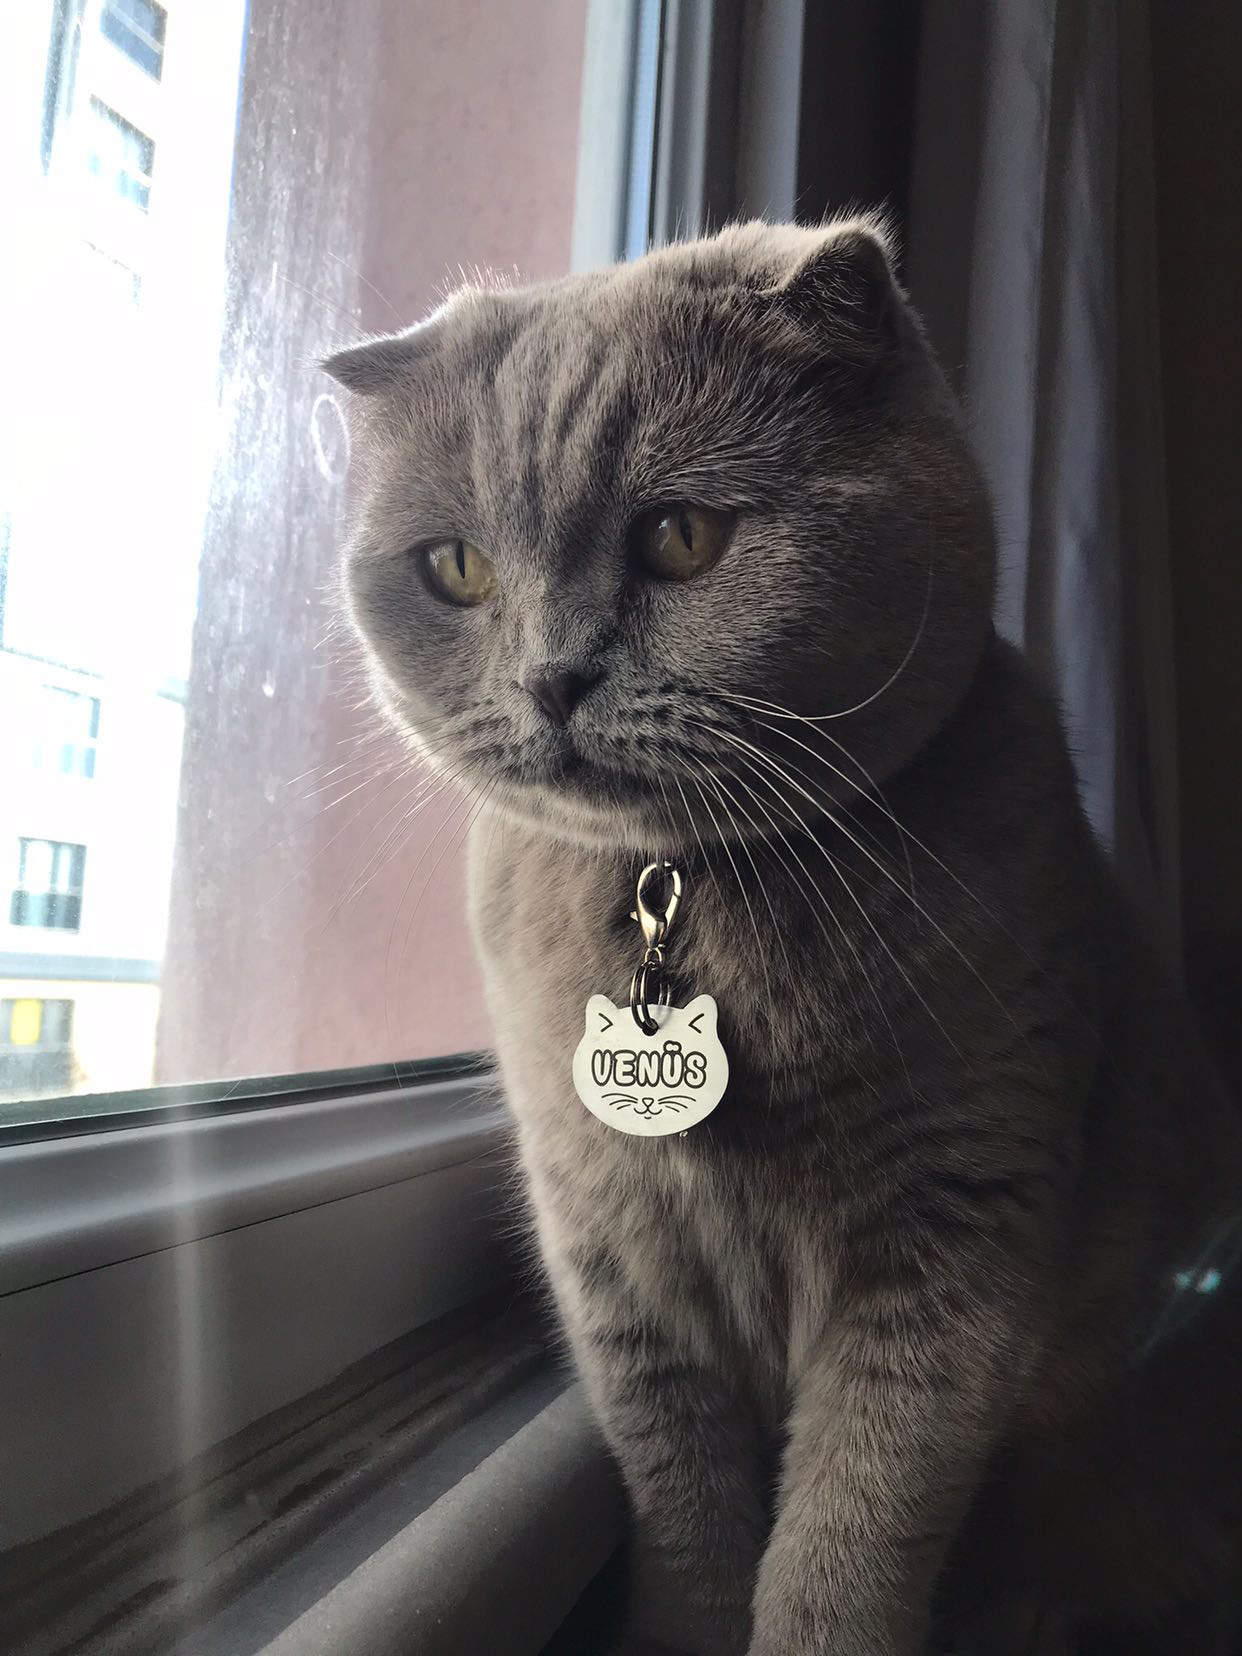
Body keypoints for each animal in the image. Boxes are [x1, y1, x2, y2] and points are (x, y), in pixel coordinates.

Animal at [324, 216, 1241, 1656]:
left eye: (681, 536)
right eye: (456, 568)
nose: (552, 677)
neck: (689, 886)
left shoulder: (952, 1237)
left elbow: (851, 1532)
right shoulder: (612, 1254)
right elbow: (684, 1507)